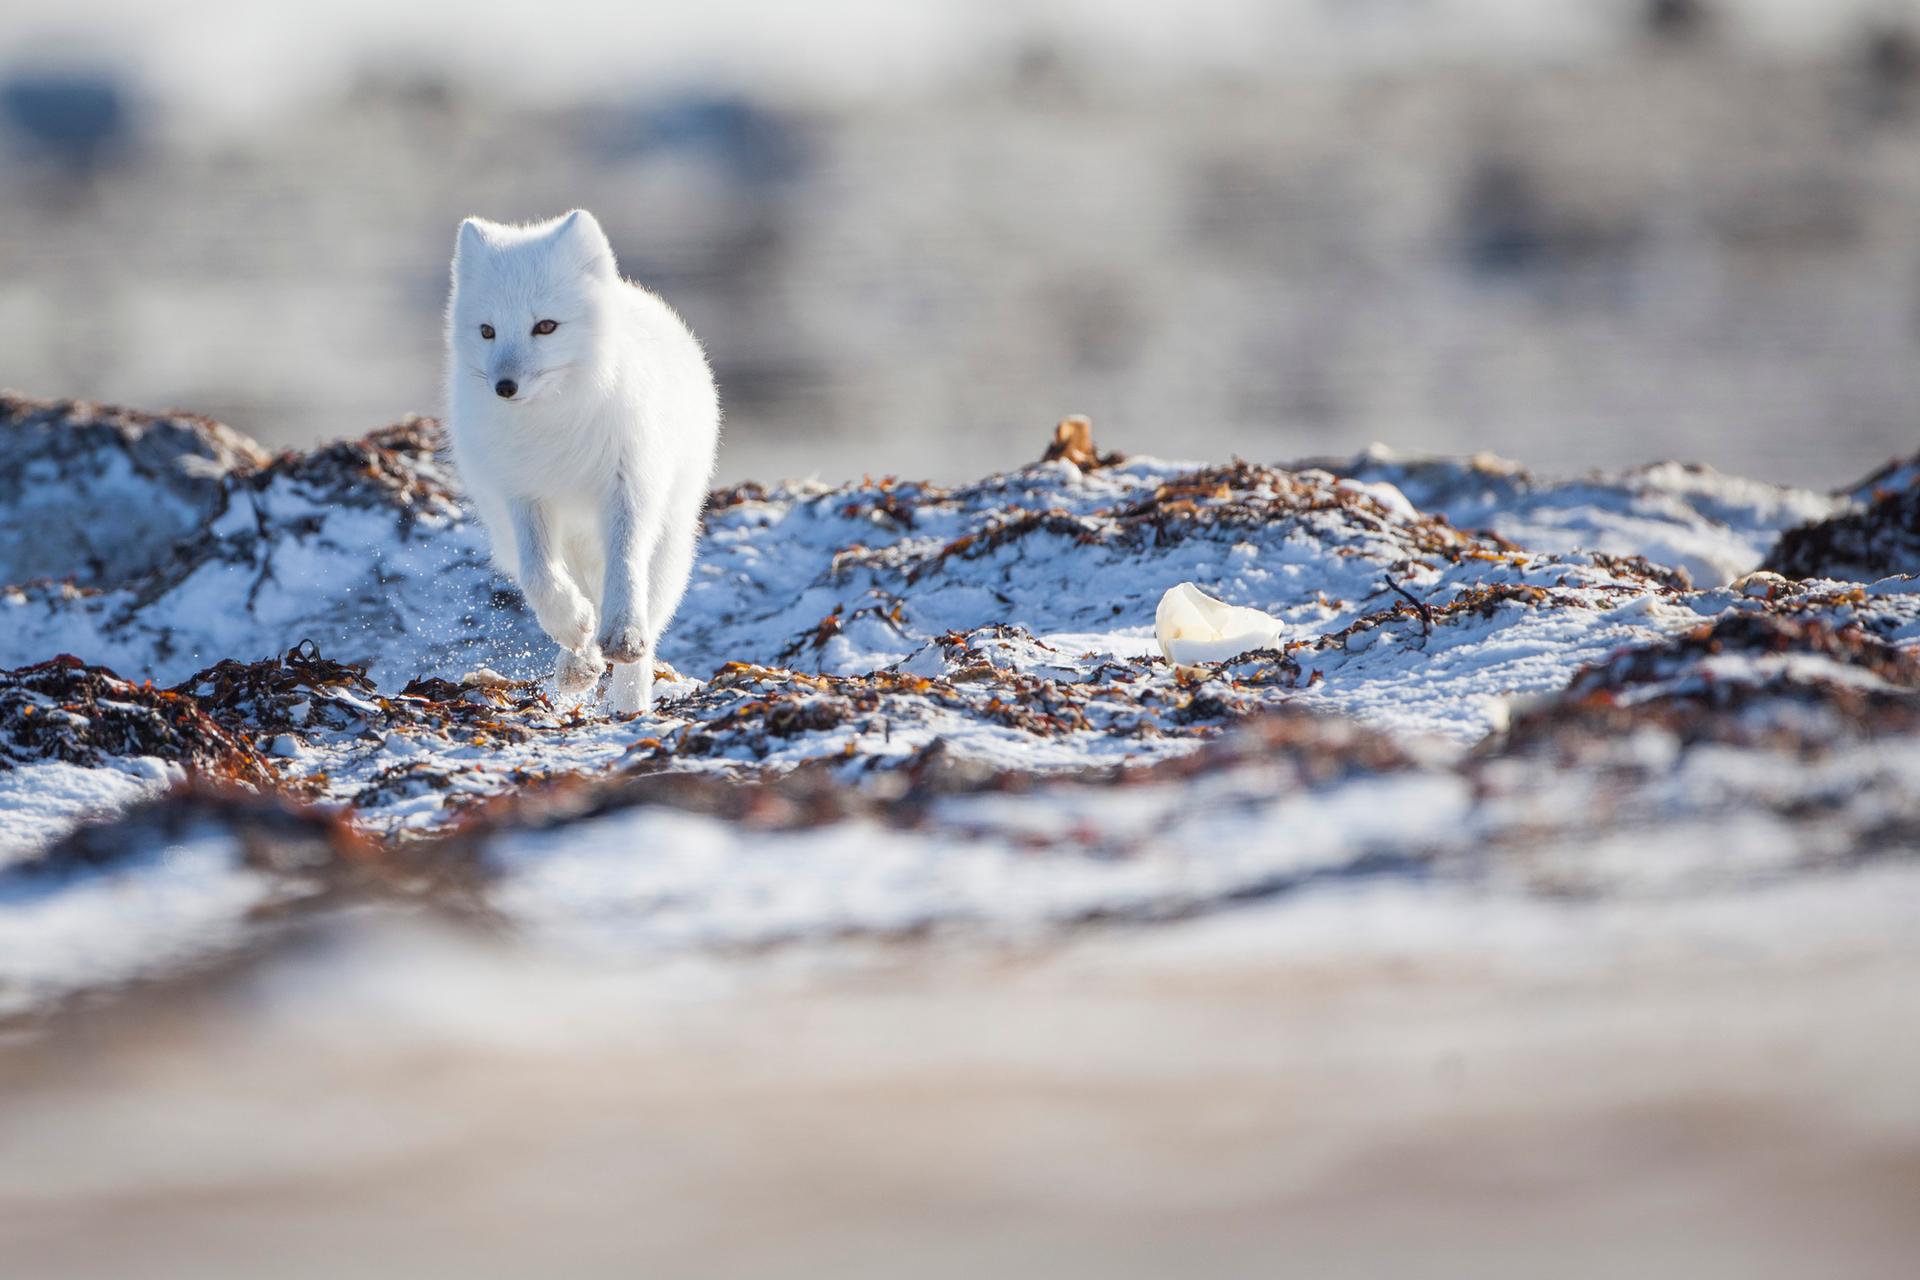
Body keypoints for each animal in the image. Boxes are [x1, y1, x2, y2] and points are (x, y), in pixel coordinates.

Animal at [443, 205, 721, 717]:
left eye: (546, 326)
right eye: (488, 331)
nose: (504, 388)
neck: (555, 423)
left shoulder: (629, 484)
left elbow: (626, 564)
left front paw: (623, 636)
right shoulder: (523, 496)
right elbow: (540, 575)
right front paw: (572, 626)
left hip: (672, 541)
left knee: (646, 608)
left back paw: (629, 703)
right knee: (567, 583)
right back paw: (577, 661)